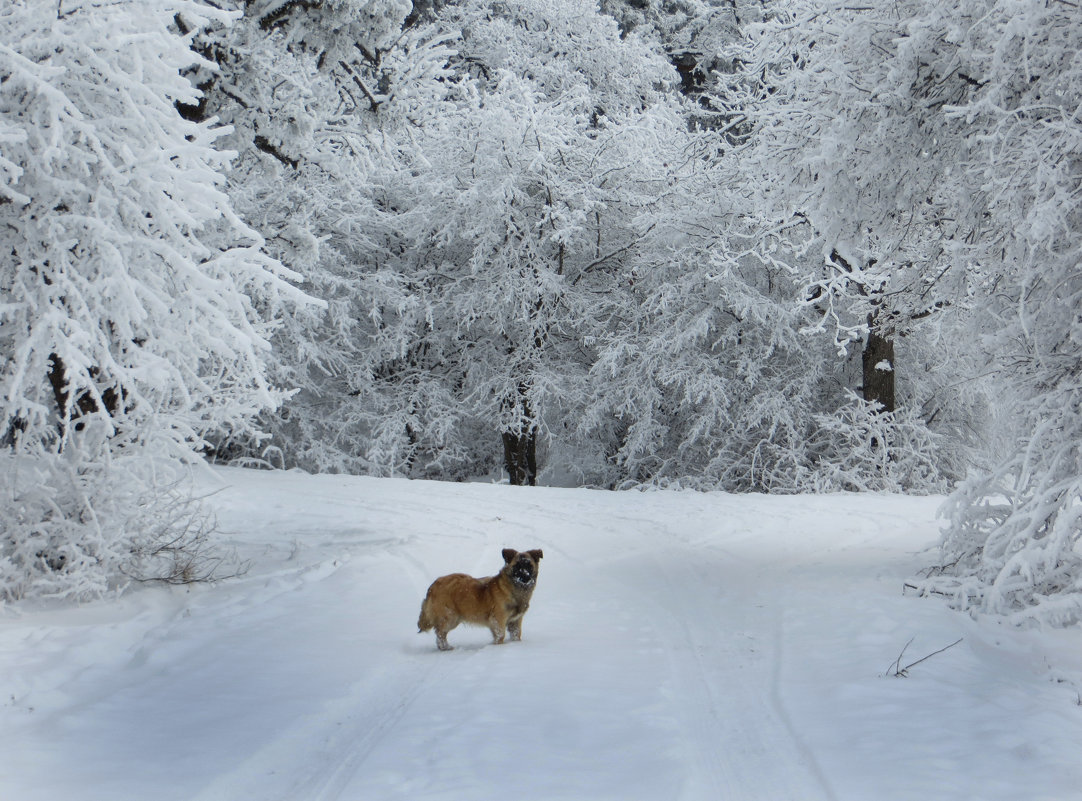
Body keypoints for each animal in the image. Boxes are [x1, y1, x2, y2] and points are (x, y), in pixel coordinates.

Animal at [417, 547, 545, 653]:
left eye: (529, 566)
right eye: (517, 566)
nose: (525, 577)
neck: (514, 589)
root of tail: (433, 586)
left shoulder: (515, 621)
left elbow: (516, 635)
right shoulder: (498, 620)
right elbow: (500, 636)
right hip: (450, 618)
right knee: (440, 633)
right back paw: (446, 648)